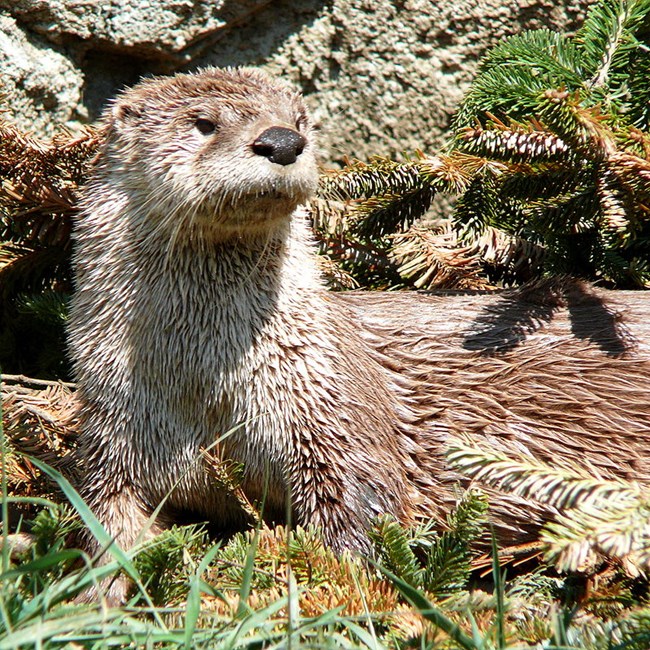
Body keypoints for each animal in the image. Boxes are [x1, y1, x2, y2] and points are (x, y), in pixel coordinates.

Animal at [68, 67, 648, 604]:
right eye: (203, 123)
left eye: (300, 120)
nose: (282, 141)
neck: (203, 385)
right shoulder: (113, 432)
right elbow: (106, 523)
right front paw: (99, 598)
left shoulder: (331, 411)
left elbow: (361, 513)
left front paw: (337, 587)